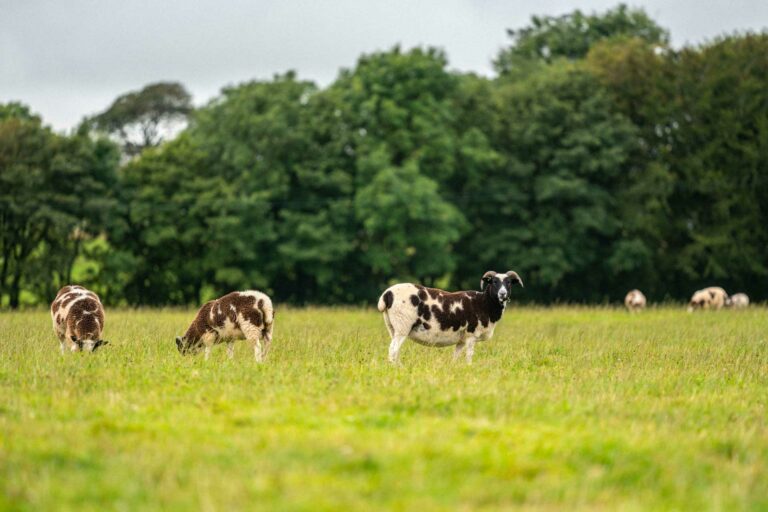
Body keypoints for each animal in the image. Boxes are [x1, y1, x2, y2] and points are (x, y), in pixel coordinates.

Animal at [376, 272, 520, 364]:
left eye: (509, 283)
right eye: (494, 282)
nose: (503, 294)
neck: (484, 303)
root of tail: (387, 294)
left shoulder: (462, 339)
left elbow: (455, 356)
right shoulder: (471, 335)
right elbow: (469, 355)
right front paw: (469, 367)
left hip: (393, 327)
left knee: (395, 350)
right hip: (402, 325)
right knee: (393, 350)